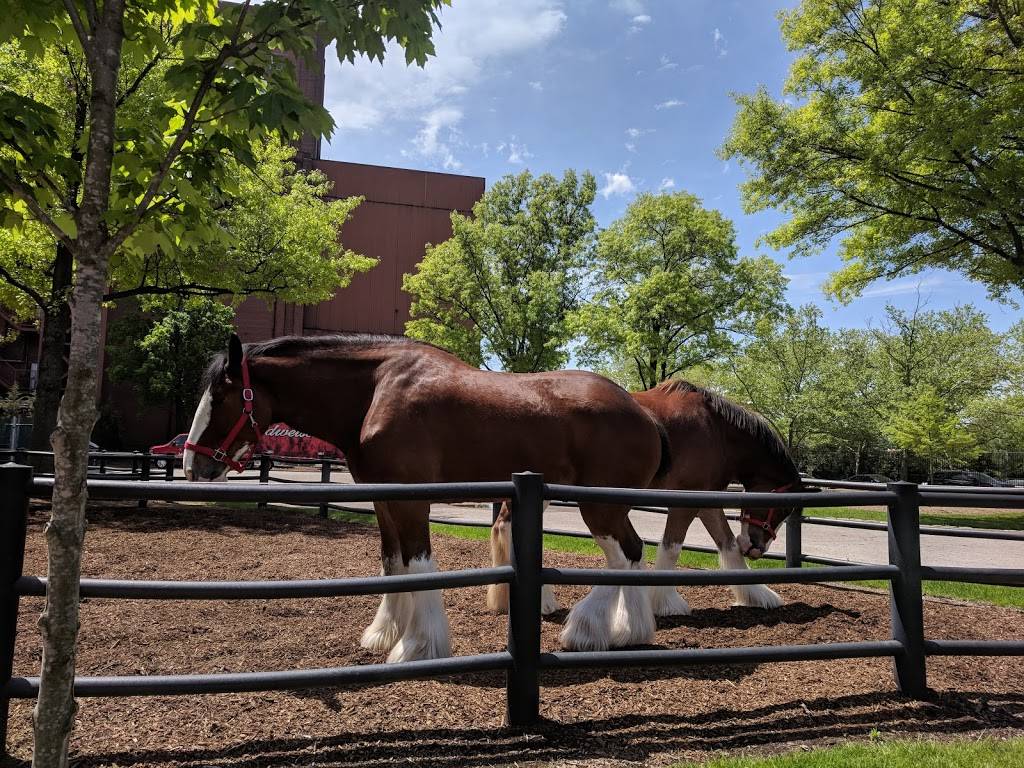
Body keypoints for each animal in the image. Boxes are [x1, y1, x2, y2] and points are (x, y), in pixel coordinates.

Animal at [186, 333, 671, 663]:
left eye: (221, 396)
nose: (193, 466)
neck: (376, 391)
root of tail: (644, 414)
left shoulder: (412, 500)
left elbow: (419, 565)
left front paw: (418, 645)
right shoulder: (383, 499)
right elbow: (393, 564)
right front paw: (384, 632)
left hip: (599, 504)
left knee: (623, 555)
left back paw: (586, 631)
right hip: (609, 505)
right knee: (631, 554)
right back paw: (629, 631)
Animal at [489, 380, 806, 618]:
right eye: (783, 506)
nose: (757, 547)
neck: (716, 432)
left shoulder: (707, 500)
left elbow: (727, 544)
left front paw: (758, 594)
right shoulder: (685, 498)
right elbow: (671, 548)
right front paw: (665, 603)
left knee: (504, 525)